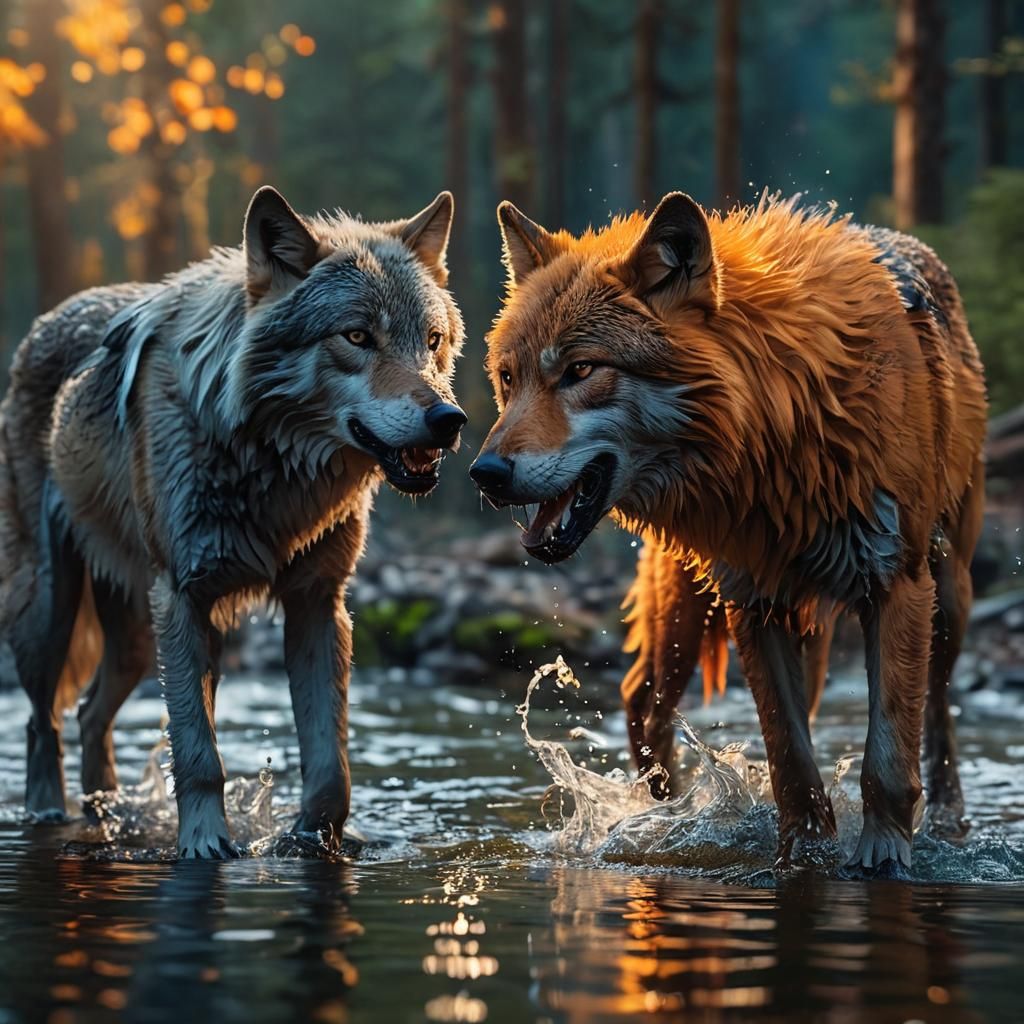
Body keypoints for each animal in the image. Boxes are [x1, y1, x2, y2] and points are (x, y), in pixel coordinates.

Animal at [1, 186, 466, 858]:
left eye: (431, 340)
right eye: (357, 335)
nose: (448, 420)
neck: (274, 467)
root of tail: (47, 318)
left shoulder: (317, 605)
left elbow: (331, 766)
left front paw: (313, 841)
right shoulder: (183, 599)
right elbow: (199, 754)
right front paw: (205, 845)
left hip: (138, 639)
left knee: (89, 713)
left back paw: (106, 815)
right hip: (52, 612)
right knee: (42, 721)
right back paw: (47, 815)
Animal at [471, 192, 987, 871]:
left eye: (580, 369)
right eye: (509, 378)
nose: (484, 473)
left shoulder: (895, 584)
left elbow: (886, 753)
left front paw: (880, 857)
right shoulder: (752, 600)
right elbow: (791, 761)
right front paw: (800, 855)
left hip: (946, 597)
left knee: (940, 707)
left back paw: (948, 815)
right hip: (689, 607)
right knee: (643, 698)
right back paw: (662, 810)